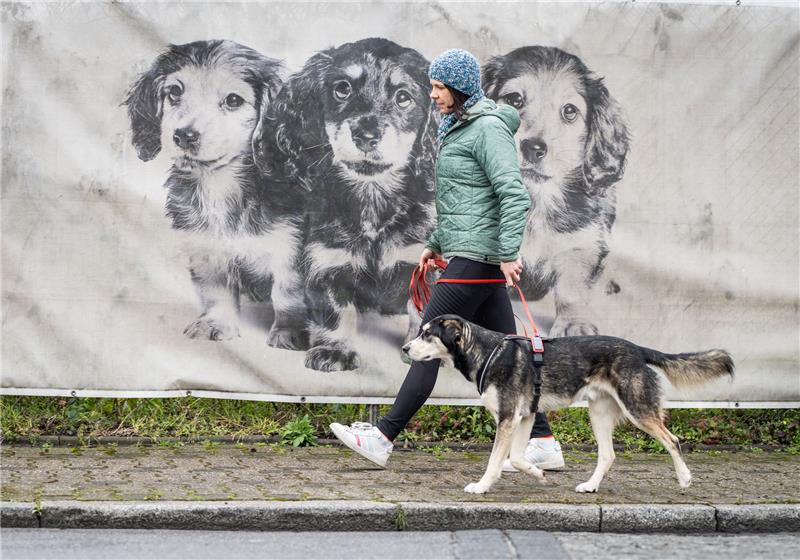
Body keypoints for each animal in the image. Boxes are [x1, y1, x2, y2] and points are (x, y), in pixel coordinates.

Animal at [126, 39, 310, 348]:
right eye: (174, 92)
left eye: (233, 100)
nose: (184, 136)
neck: (220, 183)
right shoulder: (206, 247)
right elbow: (216, 291)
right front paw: (217, 323)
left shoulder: (292, 247)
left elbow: (289, 292)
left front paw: (290, 331)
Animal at [253, 38, 438, 372]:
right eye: (342, 89)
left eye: (403, 98)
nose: (366, 134)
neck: (372, 199)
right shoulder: (327, 261)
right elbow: (336, 312)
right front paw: (335, 351)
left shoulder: (421, 263)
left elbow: (423, 311)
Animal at [404, 316, 736, 494]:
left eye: (428, 334)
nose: (405, 348)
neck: (486, 352)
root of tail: (637, 349)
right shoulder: (525, 417)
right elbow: (517, 458)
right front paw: (538, 474)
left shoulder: (509, 418)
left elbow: (495, 460)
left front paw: (482, 486)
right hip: (599, 413)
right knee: (608, 455)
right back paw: (590, 485)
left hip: (638, 409)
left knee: (673, 440)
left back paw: (684, 479)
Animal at [482, 47, 632, 336]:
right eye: (514, 99)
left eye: (570, 111)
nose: (533, 148)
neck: (534, 197)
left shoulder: (579, 245)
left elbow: (572, 289)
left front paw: (575, 323)